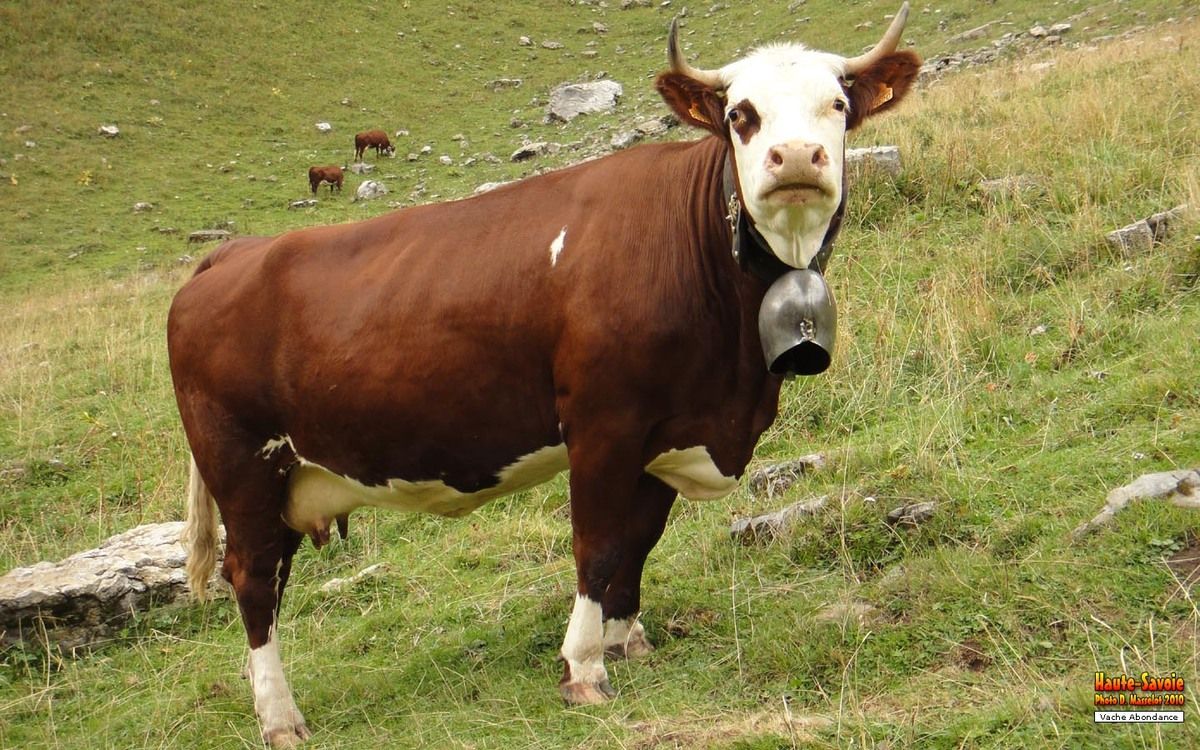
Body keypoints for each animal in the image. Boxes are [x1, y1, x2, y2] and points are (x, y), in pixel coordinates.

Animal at [168, 7, 919, 746]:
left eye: (838, 106)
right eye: (741, 113)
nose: (794, 157)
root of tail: (233, 254)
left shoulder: (665, 434)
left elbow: (639, 540)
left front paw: (626, 641)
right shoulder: (603, 425)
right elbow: (598, 545)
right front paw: (583, 669)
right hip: (243, 465)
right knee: (254, 579)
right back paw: (279, 717)